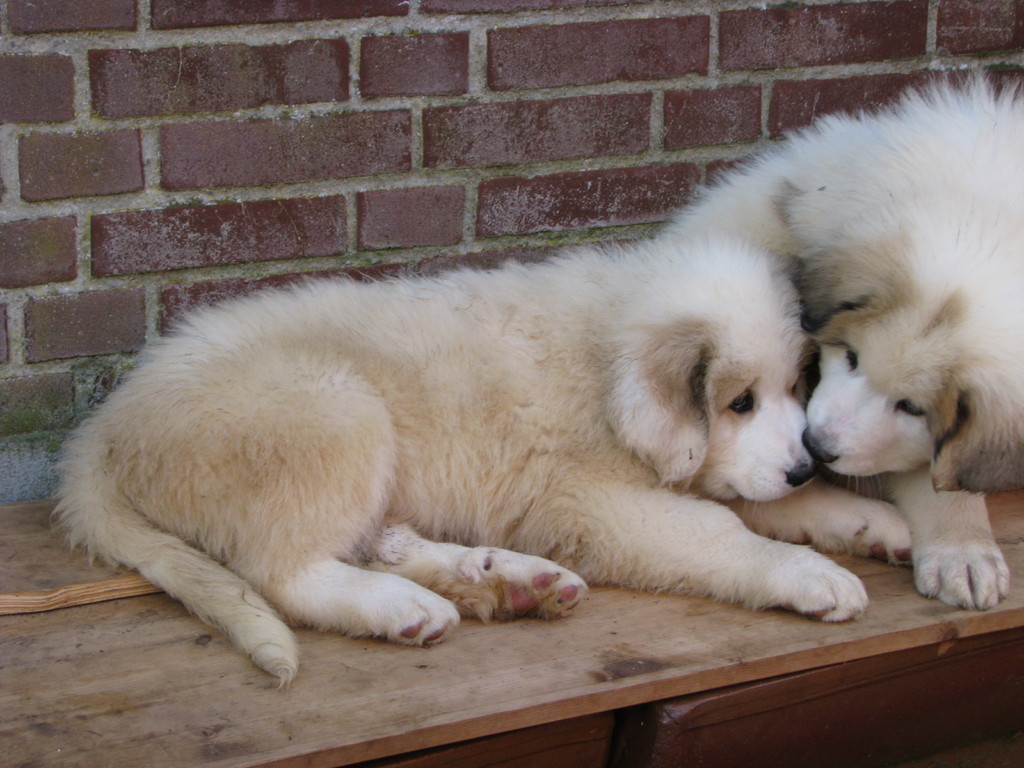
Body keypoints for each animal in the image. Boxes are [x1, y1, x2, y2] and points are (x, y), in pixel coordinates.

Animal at [58, 237, 888, 684]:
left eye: (794, 387)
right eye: (738, 402)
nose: (805, 465)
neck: (607, 350)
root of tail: (105, 430)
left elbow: (762, 502)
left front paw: (862, 518)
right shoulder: (590, 500)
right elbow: (723, 532)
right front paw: (808, 573)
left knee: (380, 540)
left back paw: (503, 581)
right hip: (335, 409)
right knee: (283, 573)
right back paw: (403, 605)